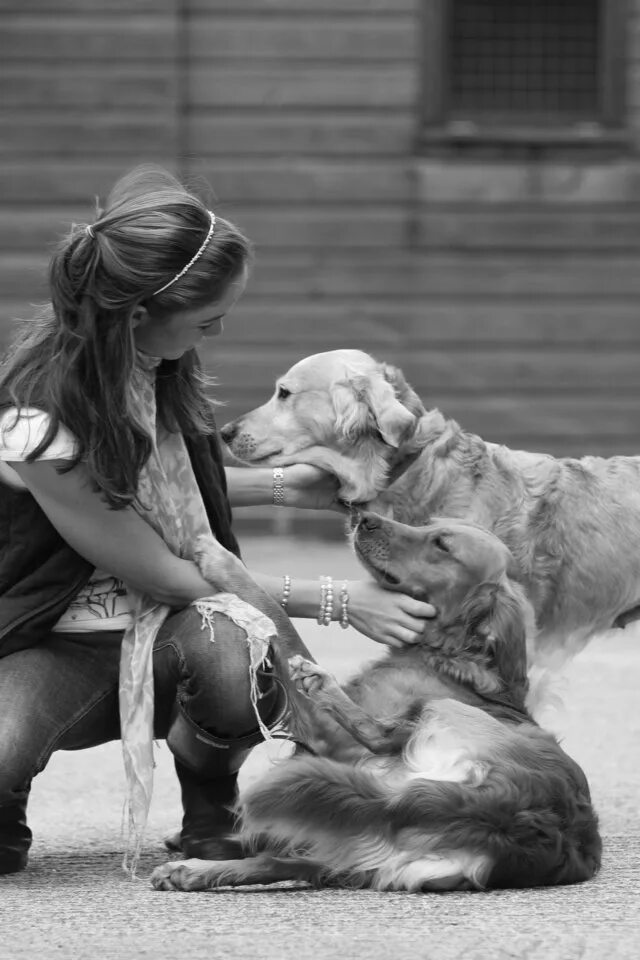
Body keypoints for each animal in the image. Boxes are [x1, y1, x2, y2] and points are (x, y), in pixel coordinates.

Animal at [151, 512, 600, 896]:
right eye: (430, 524)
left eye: (441, 544)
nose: (364, 518)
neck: (449, 653)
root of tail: (510, 811)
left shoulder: (331, 739)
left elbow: (276, 615)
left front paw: (221, 559)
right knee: (282, 860)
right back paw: (193, 870)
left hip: (433, 714)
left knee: (376, 733)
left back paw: (321, 684)